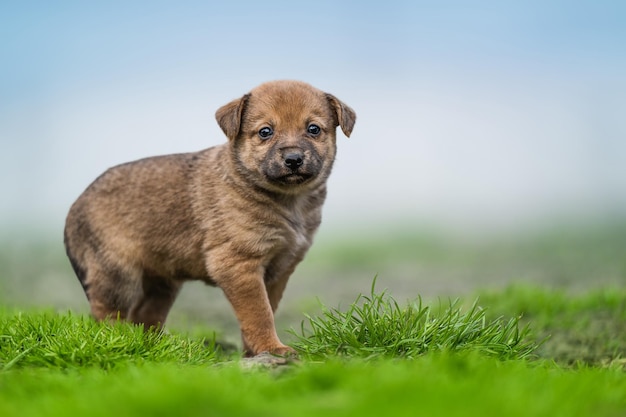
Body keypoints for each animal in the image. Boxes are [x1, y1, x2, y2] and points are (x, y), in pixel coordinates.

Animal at [64, 79, 356, 356]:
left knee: (144, 315)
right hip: (117, 275)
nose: (294, 159)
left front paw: (253, 352)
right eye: (265, 132)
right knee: (107, 314)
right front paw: (272, 349)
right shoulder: (238, 264)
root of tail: (75, 207)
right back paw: (118, 341)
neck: (286, 200)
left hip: (161, 282)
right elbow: (259, 314)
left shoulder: (279, 269)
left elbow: (266, 310)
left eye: (313, 129)